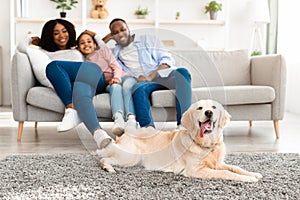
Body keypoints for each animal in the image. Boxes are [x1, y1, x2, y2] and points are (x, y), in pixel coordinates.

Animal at [96, 99, 262, 182]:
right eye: (200, 108)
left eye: (214, 107)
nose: (208, 112)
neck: (207, 144)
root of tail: (125, 133)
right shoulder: (196, 170)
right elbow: (226, 173)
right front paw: (248, 179)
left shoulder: (219, 164)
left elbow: (235, 167)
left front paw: (253, 174)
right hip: (131, 157)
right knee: (103, 159)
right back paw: (108, 168)